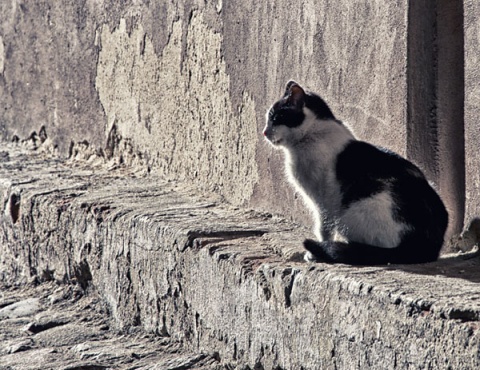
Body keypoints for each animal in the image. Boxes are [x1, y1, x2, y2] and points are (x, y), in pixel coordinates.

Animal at [262, 81, 446, 266]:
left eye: (274, 118)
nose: (264, 132)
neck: (312, 134)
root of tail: (426, 246)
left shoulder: (323, 202)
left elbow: (323, 228)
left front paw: (315, 253)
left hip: (356, 211)